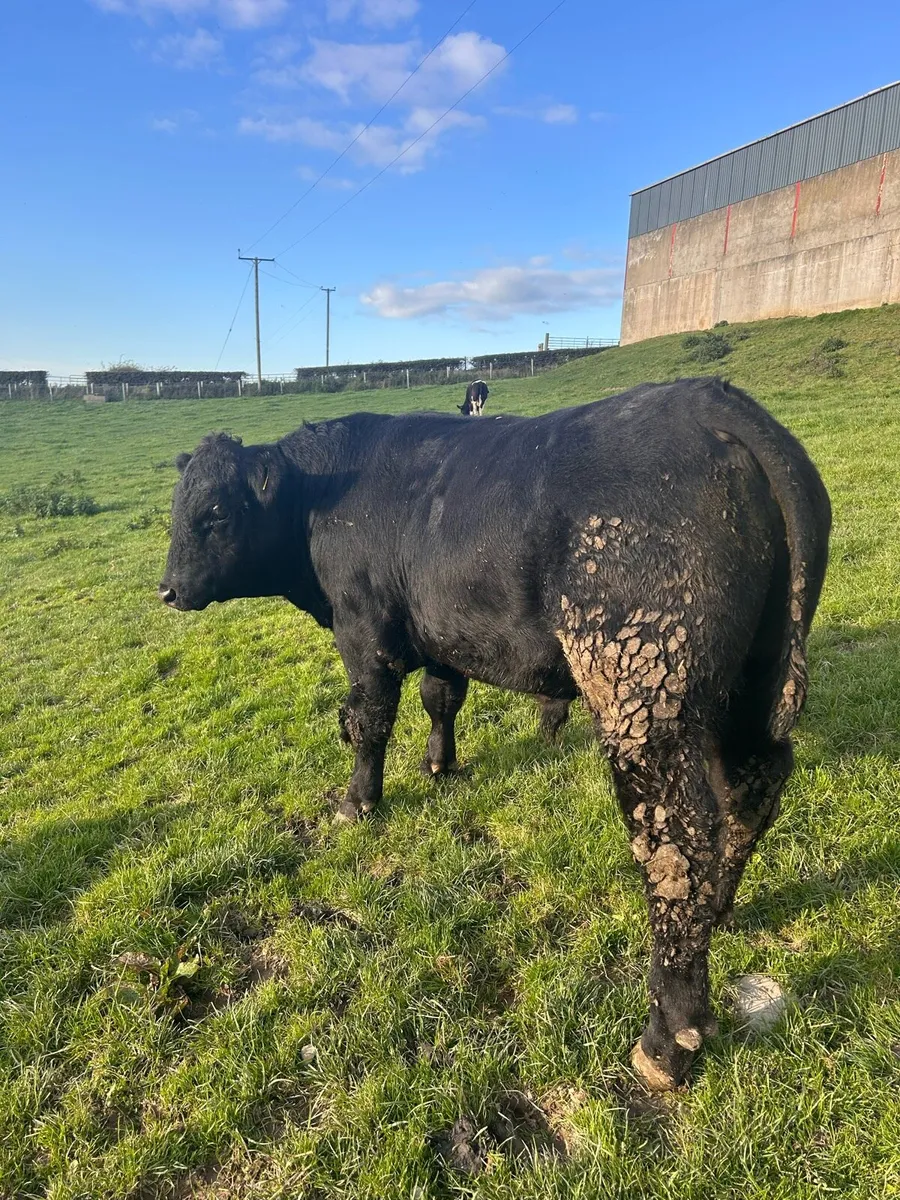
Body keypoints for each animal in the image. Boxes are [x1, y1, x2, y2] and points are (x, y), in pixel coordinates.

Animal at [158, 377, 830, 1090]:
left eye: (215, 512)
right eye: (177, 509)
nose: (167, 590)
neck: (324, 504)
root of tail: (709, 400)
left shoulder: (366, 635)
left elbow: (369, 721)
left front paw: (357, 802)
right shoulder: (439, 634)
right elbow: (441, 698)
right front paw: (439, 764)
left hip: (641, 698)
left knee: (676, 844)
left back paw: (667, 1038)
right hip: (752, 682)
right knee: (750, 786)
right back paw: (720, 910)